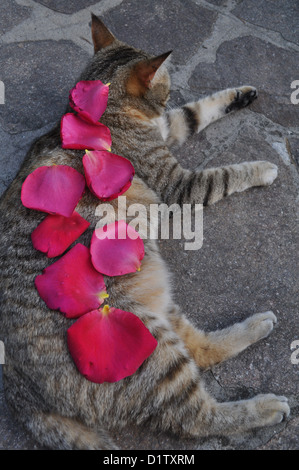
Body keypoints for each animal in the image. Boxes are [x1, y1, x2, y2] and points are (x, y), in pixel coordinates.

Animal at [0, 13, 290, 448]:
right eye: (166, 85)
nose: (170, 94)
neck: (105, 113)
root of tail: (21, 394)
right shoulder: (178, 185)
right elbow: (224, 173)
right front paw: (260, 167)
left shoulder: (168, 127)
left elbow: (194, 111)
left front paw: (240, 95)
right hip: (144, 346)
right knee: (197, 419)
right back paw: (265, 407)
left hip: (158, 303)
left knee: (201, 348)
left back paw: (255, 325)